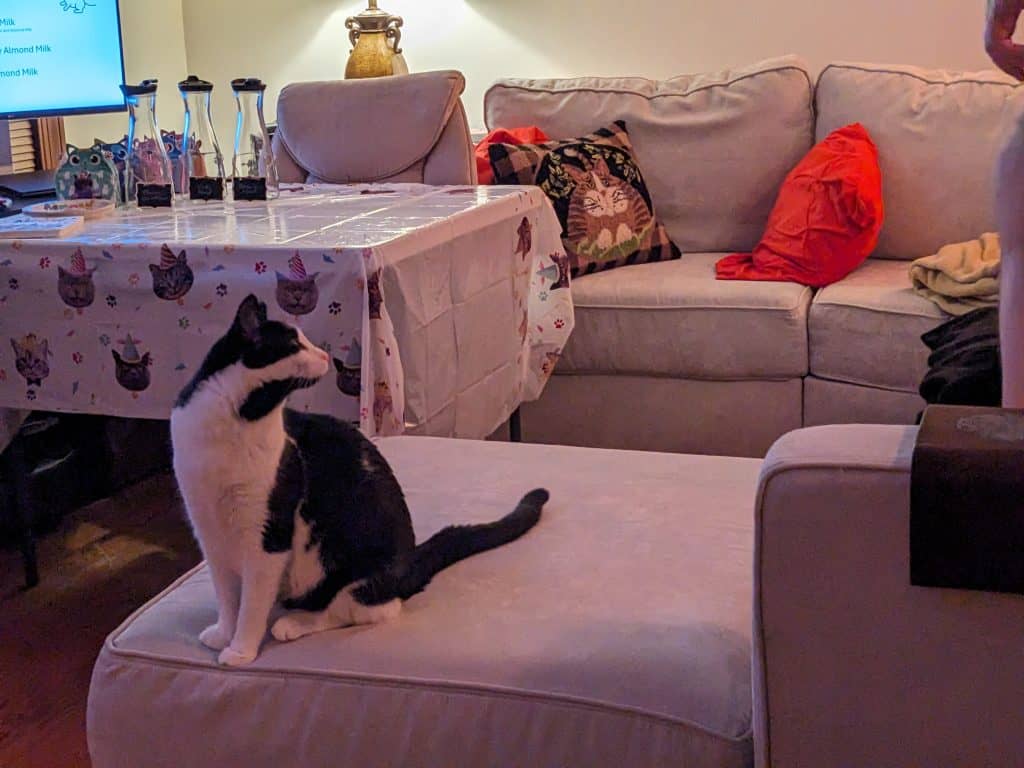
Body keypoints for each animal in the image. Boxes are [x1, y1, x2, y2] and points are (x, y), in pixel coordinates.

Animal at [172, 294, 548, 667]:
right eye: (294, 344)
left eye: (306, 341)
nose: (325, 355)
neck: (238, 420)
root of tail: (408, 564)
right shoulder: (208, 531)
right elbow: (226, 594)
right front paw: (223, 632)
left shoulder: (267, 538)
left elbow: (250, 604)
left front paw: (240, 649)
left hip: (354, 569)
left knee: (363, 610)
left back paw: (294, 622)